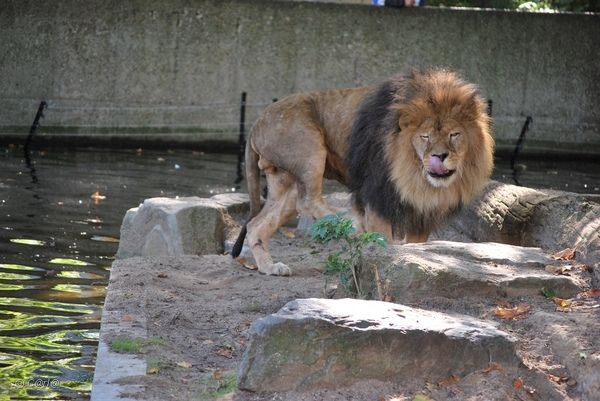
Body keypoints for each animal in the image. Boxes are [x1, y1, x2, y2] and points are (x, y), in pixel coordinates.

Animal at [232, 68, 494, 276]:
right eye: (425, 136)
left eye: (454, 135)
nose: (438, 157)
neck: (415, 177)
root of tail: (255, 122)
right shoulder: (377, 197)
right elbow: (383, 240)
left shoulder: (420, 215)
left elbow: (415, 247)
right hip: (309, 147)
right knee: (308, 201)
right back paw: (348, 222)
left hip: (286, 181)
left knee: (258, 223)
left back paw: (269, 267)